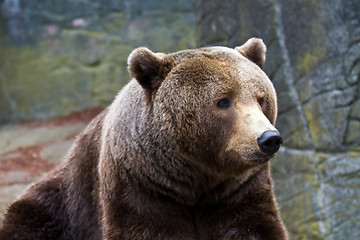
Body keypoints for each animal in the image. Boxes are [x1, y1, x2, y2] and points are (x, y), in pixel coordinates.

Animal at [0, 38, 286, 240]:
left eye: (261, 98)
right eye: (223, 101)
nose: (268, 138)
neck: (195, 178)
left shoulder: (238, 190)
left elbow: (251, 227)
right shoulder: (139, 187)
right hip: (65, 201)